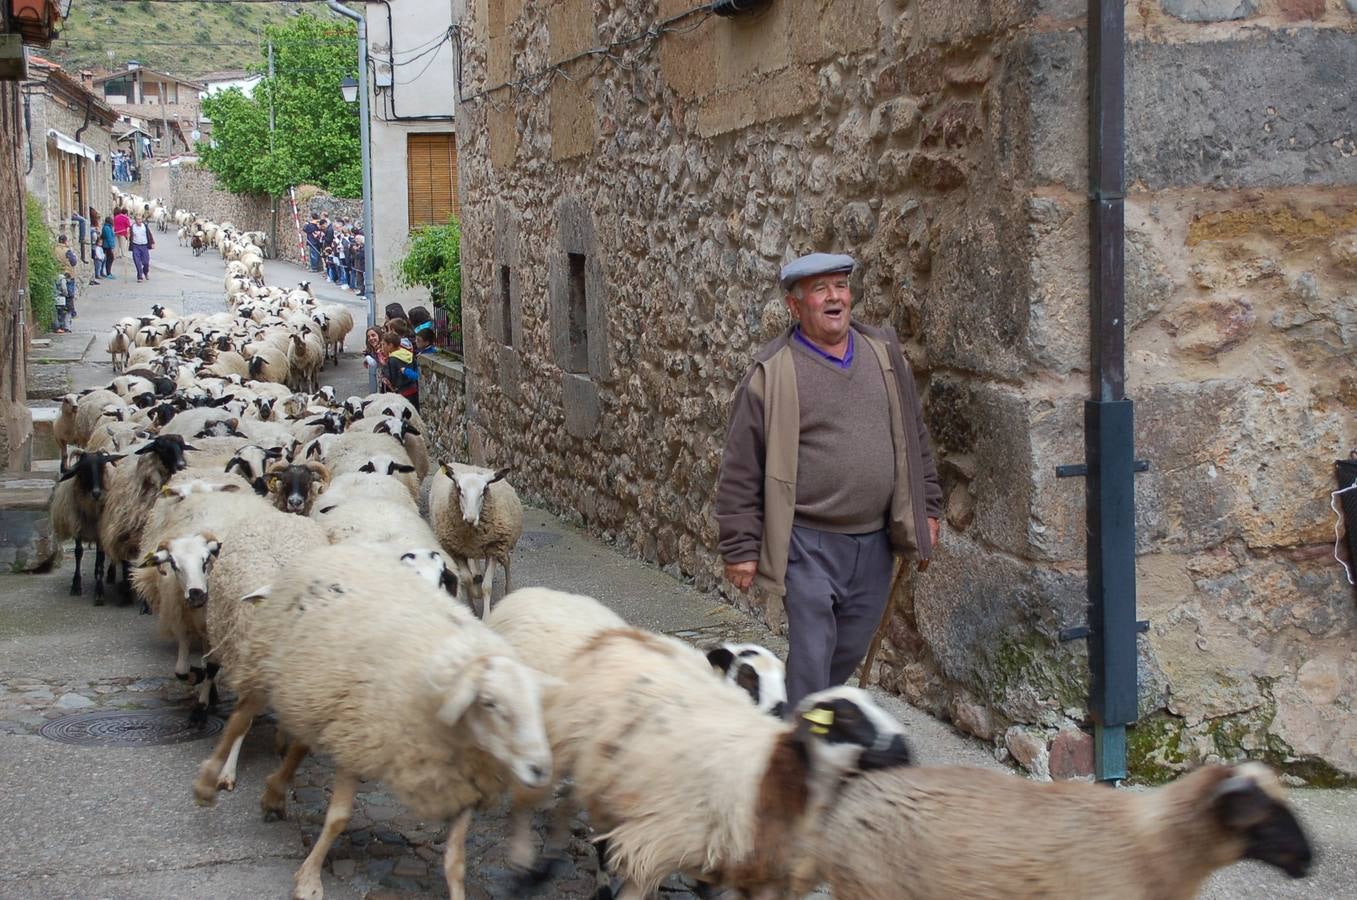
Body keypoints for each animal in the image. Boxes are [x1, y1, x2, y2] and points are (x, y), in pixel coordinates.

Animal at [191, 542, 550, 900]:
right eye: (491, 703)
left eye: (536, 703)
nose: (539, 769)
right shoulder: (359, 737)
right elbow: (338, 818)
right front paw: (309, 880)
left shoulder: (460, 781)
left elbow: (455, 861)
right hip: (268, 664)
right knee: (240, 720)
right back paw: (209, 782)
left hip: (316, 687)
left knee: (300, 742)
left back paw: (275, 794)